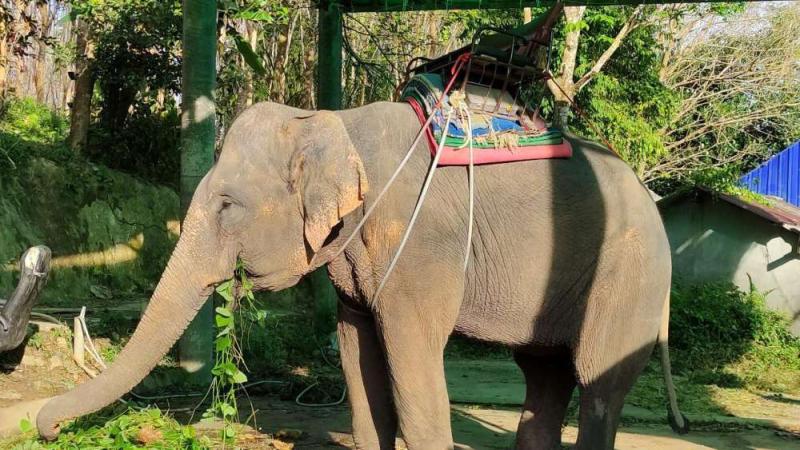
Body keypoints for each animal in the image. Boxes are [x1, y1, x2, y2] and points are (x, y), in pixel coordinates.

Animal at [36, 101, 685, 449]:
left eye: (225, 207)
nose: (45, 427)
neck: (330, 121)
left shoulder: (419, 245)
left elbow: (411, 360)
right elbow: (358, 357)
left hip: (630, 274)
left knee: (598, 382)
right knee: (544, 377)